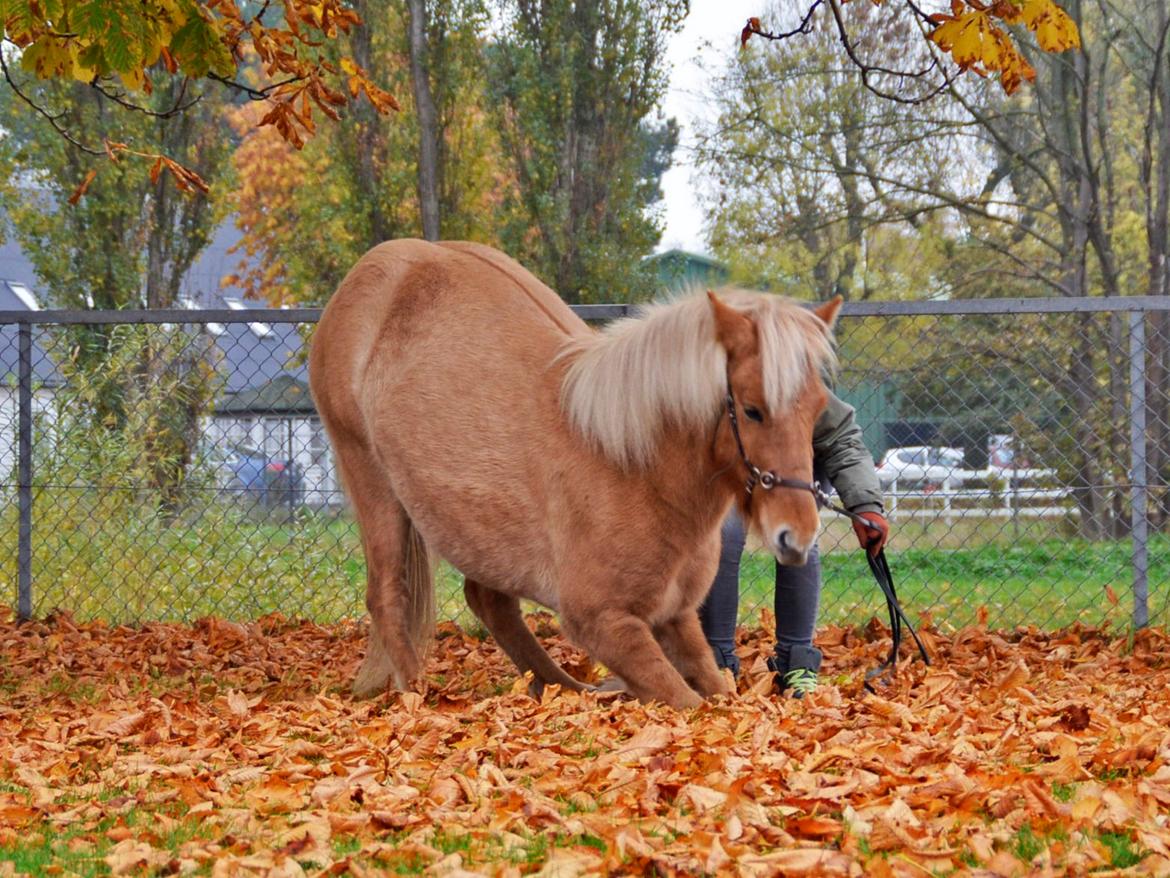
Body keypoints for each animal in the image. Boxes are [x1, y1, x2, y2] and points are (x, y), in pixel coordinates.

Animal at [311, 242, 842, 716]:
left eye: (818, 407)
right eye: (752, 409)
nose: (797, 535)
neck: (635, 465)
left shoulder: (675, 617)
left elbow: (719, 691)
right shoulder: (606, 623)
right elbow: (691, 704)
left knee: (489, 601)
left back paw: (562, 689)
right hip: (370, 475)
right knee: (387, 593)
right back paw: (419, 696)